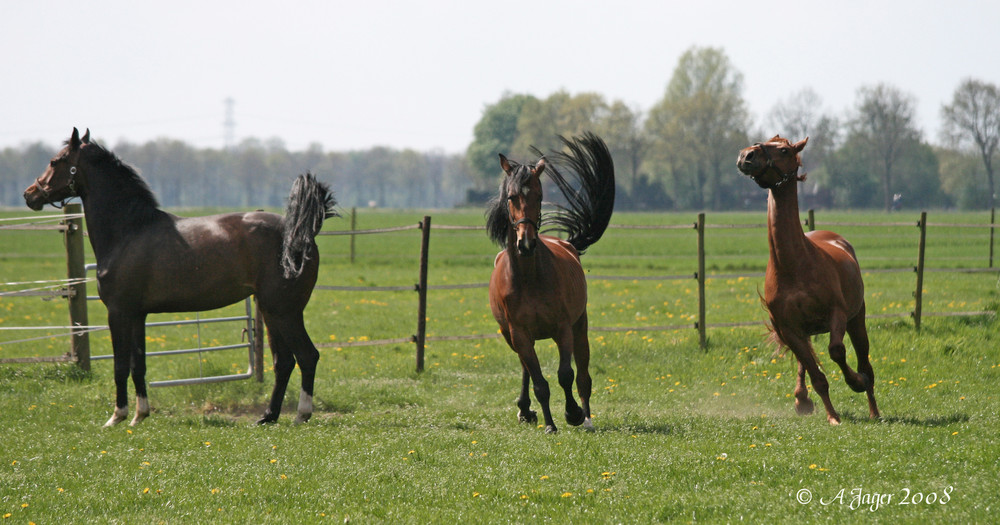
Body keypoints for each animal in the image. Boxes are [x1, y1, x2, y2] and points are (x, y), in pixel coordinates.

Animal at [22, 128, 336, 426]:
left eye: (56, 161)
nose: (29, 194)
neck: (130, 229)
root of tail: (301, 234)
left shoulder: (119, 312)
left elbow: (120, 365)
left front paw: (117, 416)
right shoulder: (137, 315)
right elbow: (138, 364)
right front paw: (140, 415)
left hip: (284, 311)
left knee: (307, 356)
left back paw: (301, 415)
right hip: (271, 310)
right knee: (284, 362)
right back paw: (268, 416)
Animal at [486, 132, 616, 434]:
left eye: (539, 195)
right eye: (511, 197)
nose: (526, 243)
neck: (528, 278)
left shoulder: (563, 328)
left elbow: (566, 374)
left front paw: (573, 413)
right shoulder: (519, 334)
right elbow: (539, 383)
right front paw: (549, 424)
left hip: (580, 326)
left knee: (583, 375)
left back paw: (587, 418)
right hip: (511, 336)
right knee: (525, 368)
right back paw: (525, 410)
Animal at [736, 136, 884, 426]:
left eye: (783, 150)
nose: (746, 155)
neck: (794, 265)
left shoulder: (837, 315)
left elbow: (836, 351)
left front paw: (855, 383)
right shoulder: (789, 329)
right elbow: (816, 374)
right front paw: (831, 416)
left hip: (856, 319)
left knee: (865, 363)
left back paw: (873, 408)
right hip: (805, 331)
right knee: (806, 362)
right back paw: (802, 399)